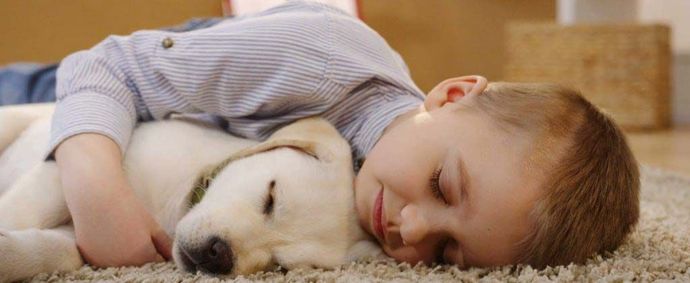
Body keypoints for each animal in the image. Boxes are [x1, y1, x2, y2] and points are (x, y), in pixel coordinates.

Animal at [0, 103, 376, 282]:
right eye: (271, 197)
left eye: (280, 266)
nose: (217, 255)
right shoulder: (66, 176)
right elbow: (21, 212)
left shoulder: (91, 237)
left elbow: (60, 251)